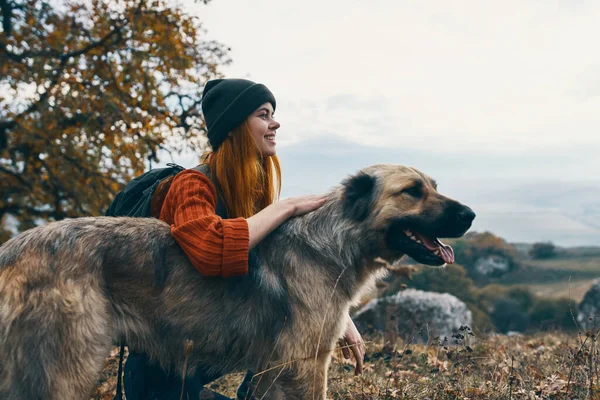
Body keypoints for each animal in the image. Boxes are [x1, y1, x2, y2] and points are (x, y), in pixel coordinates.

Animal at [0, 164, 474, 398]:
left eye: (433, 186)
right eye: (412, 191)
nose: (469, 215)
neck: (335, 241)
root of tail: (16, 245)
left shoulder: (275, 368)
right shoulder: (304, 365)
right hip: (66, 368)